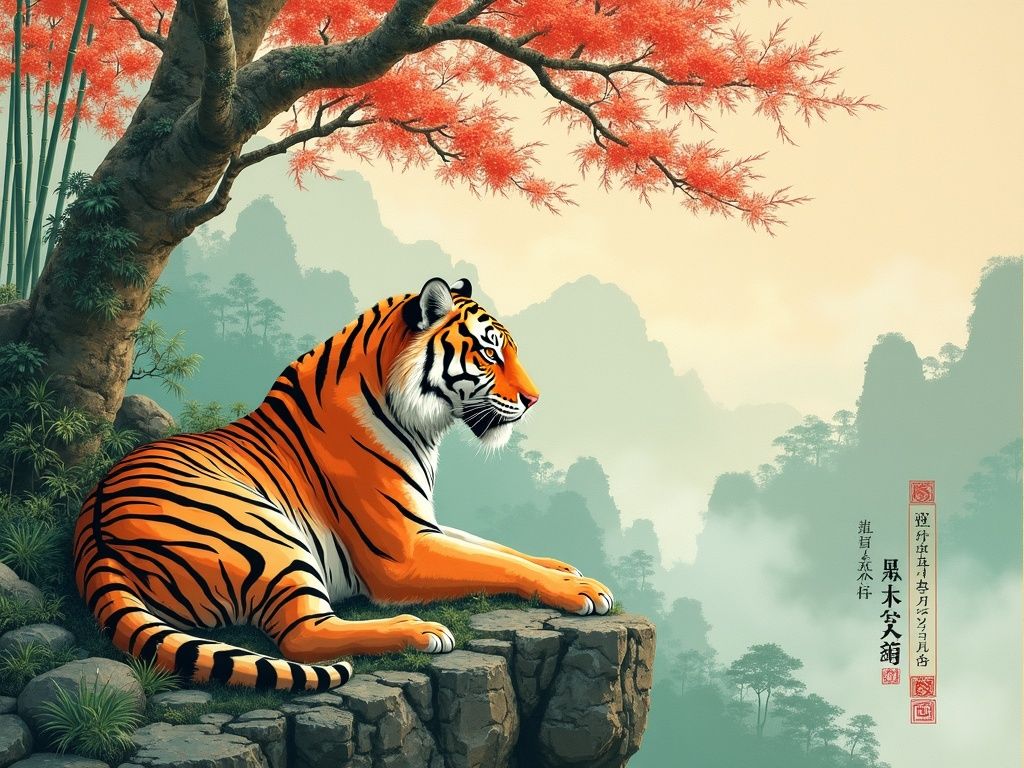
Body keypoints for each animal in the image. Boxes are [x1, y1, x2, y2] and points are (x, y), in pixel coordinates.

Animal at [73, 277, 614, 692]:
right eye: (488, 353)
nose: (535, 399)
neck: (415, 420)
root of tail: (91, 537)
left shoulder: (426, 524)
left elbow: (496, 548)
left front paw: (564, 566)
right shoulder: (402, 552)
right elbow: (496, 564)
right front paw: (581, 589)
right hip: (271, 537)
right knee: (303, 635)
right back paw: (421, 630)